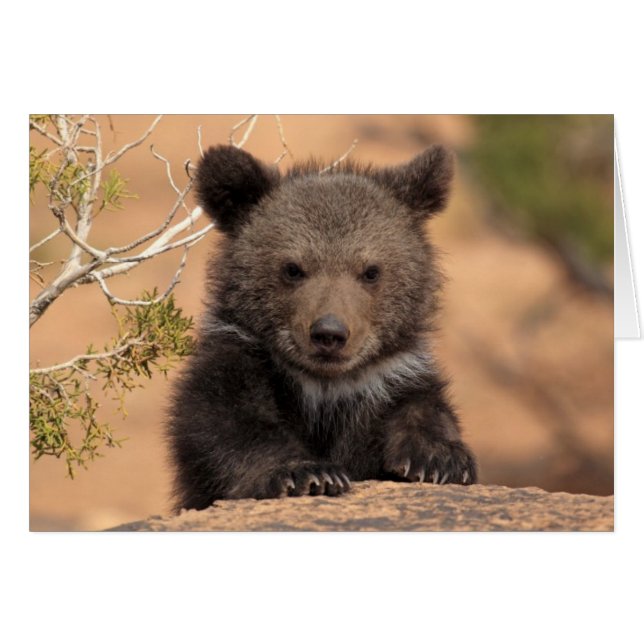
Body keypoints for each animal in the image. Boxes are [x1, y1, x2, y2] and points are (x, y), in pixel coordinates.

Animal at [166, 143, 478, 512]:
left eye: (371, 271)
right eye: (292, 268)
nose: (329, 333)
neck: (325, 389)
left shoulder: (390, 378)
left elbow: (423, 408)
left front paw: (438, 459)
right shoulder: (241, 363)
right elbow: (226, 423)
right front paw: (306, 473)